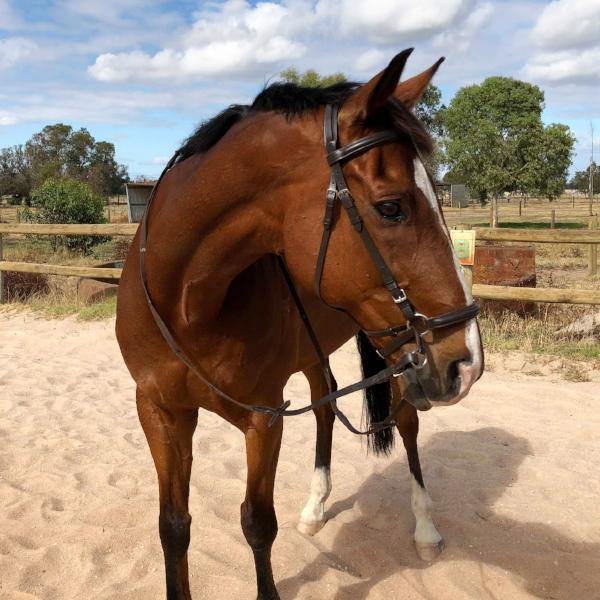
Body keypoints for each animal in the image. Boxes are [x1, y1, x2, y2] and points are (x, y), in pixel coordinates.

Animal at [116, 48, 482, 600]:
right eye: (391, 207)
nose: (468, 361)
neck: (187, 304)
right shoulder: (159, 412)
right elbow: (173, 525)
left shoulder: (264, 417)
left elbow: (256, 523)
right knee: (326, 405)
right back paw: (314, 509)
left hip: (400, 356)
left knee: (407, 424)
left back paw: (425, 530)